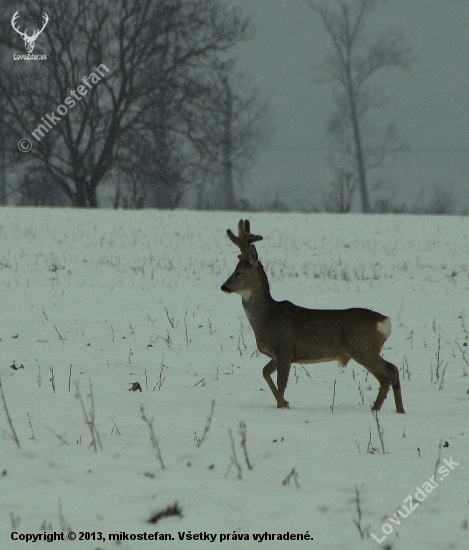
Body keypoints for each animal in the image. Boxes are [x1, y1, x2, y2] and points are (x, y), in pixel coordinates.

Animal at [221, 220, 404, 414]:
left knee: (392, 370)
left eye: (239, 272)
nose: (224, 286)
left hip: (363, 348)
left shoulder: (283, 348)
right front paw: (285, 402)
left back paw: (400, 410)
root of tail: (385, 321)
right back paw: (375, 409)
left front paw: (281, 406)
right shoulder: (279, 354)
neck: (266, 316)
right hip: (364, 351)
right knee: (384, 378)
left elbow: (281, 383)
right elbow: (265, 372)